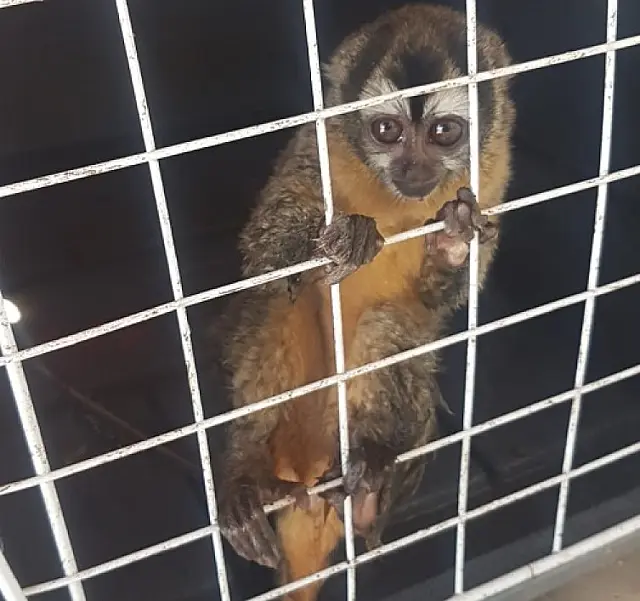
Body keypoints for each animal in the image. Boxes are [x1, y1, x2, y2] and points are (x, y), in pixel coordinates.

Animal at [215, 5, 515, 601]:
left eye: (444, 132)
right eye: (387, 131)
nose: (414, 169)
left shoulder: (494, 177)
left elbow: (439, 303)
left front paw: (453, 239)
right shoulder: (316, 147)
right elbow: (262, 253)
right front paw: (347, 239)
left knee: (389, 323)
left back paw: (370, 479)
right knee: (273, 308)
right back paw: (247, 472)